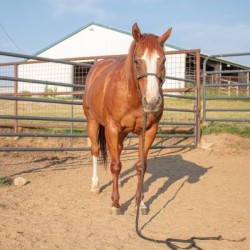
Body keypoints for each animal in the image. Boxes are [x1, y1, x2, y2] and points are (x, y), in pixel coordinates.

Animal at [83, 23, 172, 213]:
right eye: (137, 61)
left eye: (163, 61)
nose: (152, 101)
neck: (132, 95)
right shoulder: (112, 128)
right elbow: (116, 166)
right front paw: (116, 203)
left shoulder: (149, 130)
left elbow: (141, 166)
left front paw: (140, 202)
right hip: (92, 122)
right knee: (95, 150)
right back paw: (95, 185)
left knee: (117, 151)